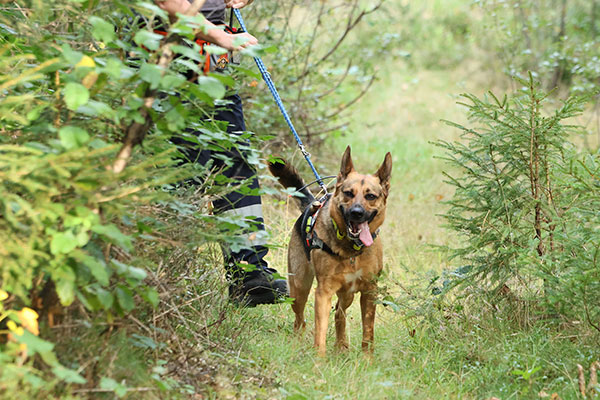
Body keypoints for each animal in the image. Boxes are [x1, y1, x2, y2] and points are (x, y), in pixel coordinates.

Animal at [270, 145, 392, 354]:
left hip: (348, 293)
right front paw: (319, 359)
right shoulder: (323, 293)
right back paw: (297, 343)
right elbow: (320, 333)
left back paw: (341, 345)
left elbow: (368, 334)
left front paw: (367, 358)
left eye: (370, 196)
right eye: (348, 193)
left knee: (339, 315)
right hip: (299, 288)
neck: (352, 251)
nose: (356, 213)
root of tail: (312, 204)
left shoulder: (369, 292)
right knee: (300, 321)